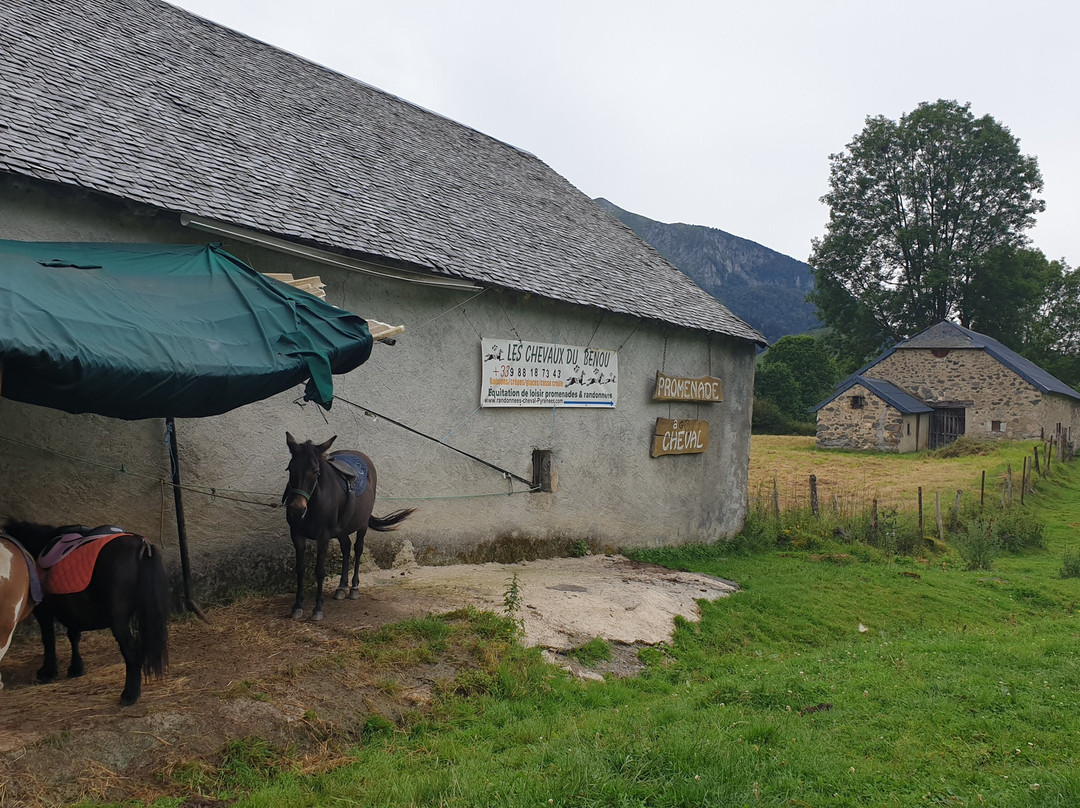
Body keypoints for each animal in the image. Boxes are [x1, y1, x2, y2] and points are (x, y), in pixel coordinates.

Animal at [1, 520, 168, 704]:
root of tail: (141, 545)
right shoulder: (73, 611)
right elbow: (74, 637)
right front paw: (76, 668)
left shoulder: (44, 613)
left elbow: (49, 640)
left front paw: (48, 672)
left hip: (119, 620)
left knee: (131, 652)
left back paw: (129, 694)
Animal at [285, 432, 414, 622]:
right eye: (290, 469)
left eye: (315, 471)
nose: (296, 509)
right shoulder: (297, 535)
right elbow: (300, 569)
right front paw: (297, 606)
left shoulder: (323, 536)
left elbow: (320, 571)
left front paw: (318, 608)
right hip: (342, 529)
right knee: (346, 548)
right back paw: (341, 587)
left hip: (362, 525)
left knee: (358, 549)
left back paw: (353, 588)